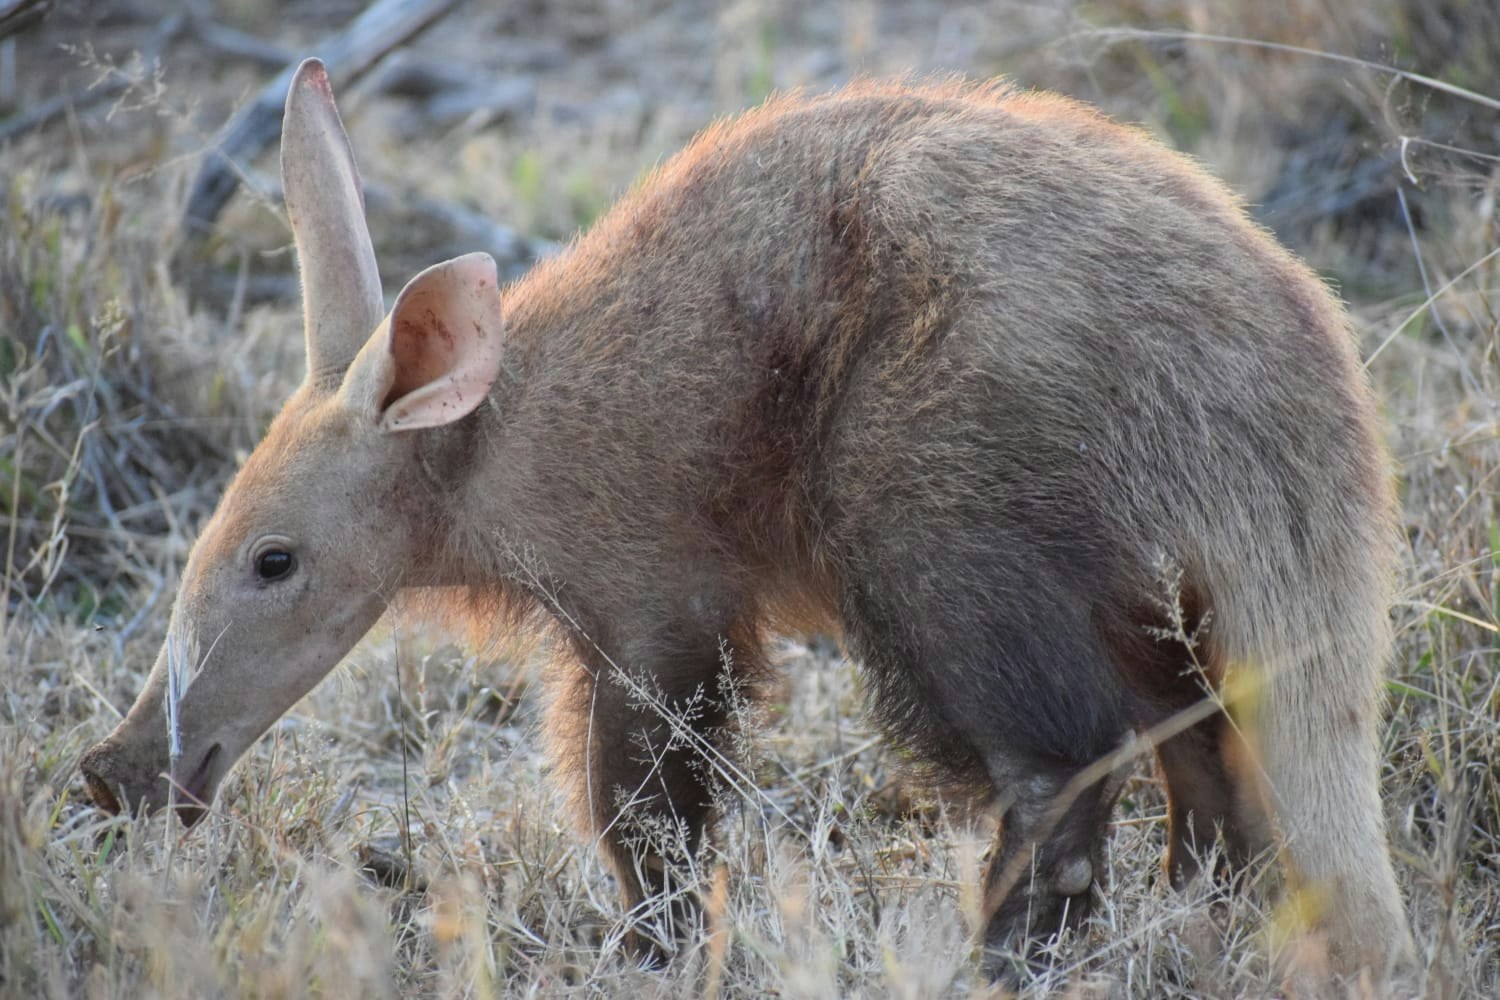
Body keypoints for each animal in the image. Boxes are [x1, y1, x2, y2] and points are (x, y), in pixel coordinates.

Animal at [81, 58, 1413, 988]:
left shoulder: (652, 591)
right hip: (1145, 593)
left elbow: (643, 803)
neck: (488, 447)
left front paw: (659, 951)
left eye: (274, 560)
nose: (121, 772)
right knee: (1203, 752)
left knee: (1068, 755)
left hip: (932, 514)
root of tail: (1302, 433)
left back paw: (994, 957)